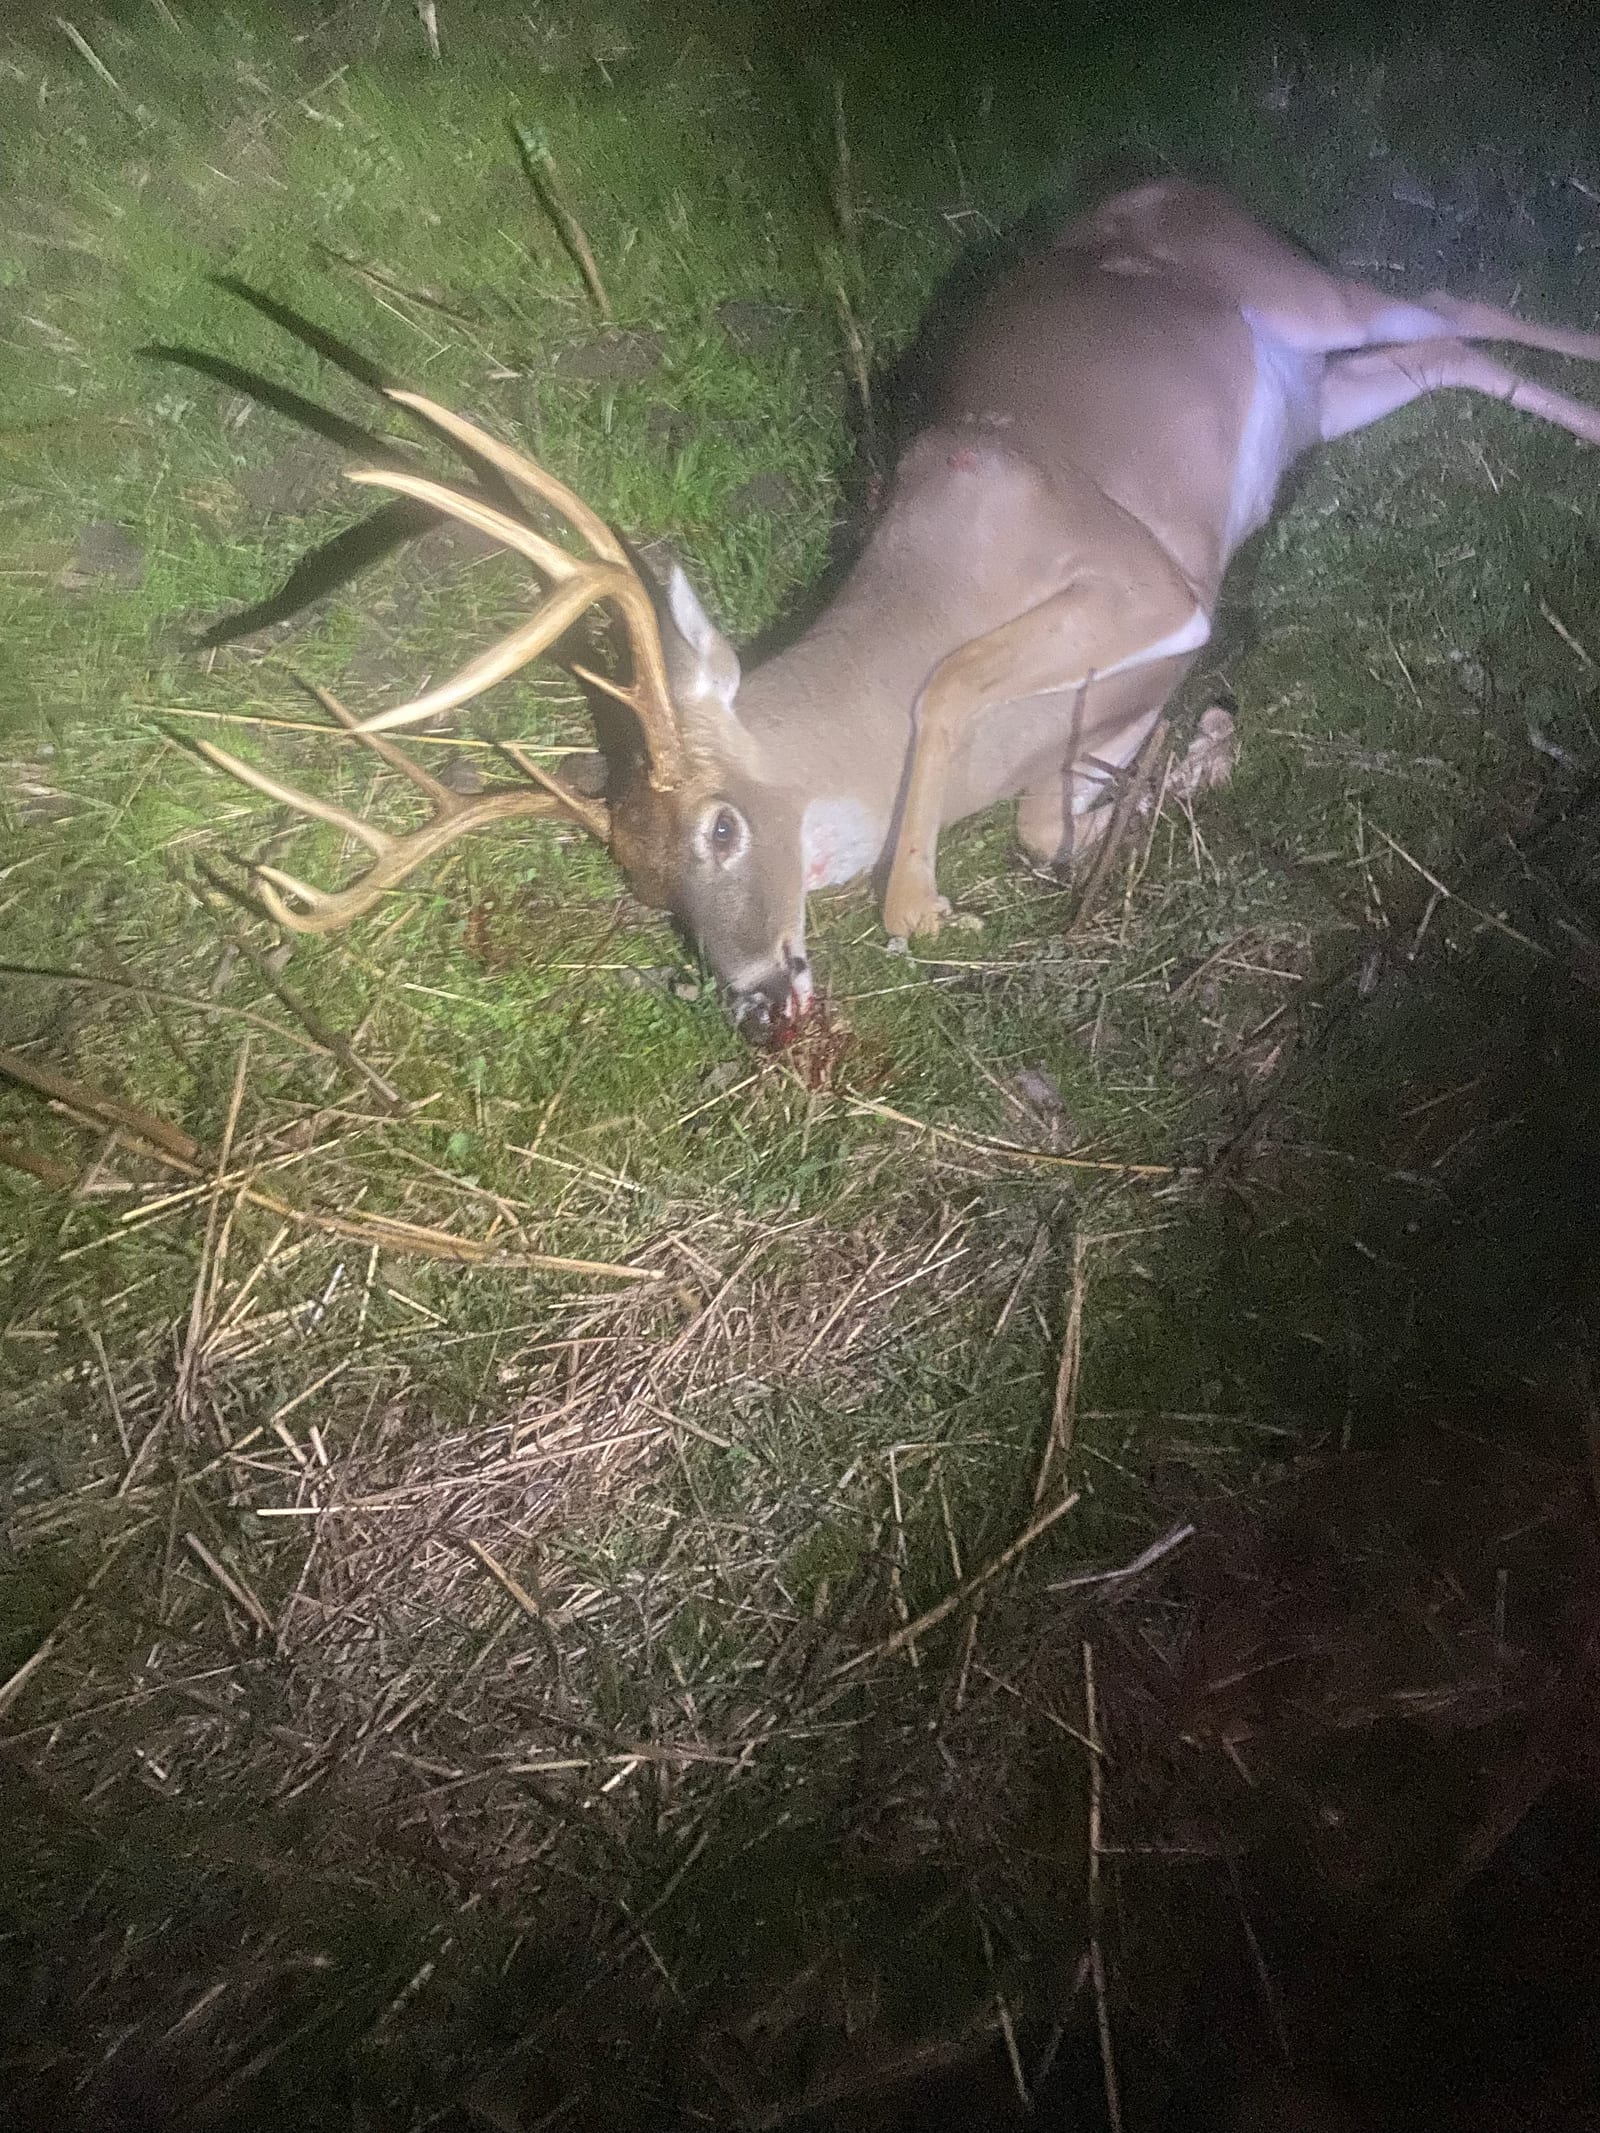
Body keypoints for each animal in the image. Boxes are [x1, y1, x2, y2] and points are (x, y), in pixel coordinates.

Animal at [192, 180, 1600, 1041]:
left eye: (717, 830)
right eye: (637, 881)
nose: (756, 996)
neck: (913, 595)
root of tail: (1160, 186)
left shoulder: (1140, 572)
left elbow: (954, 682)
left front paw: (918, 903)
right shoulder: (1104, 703)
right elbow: (1048, 833)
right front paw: (1199, 756)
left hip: (1297, 289)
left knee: (1455, 301)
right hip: (1312, 396)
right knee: (1444, 353)